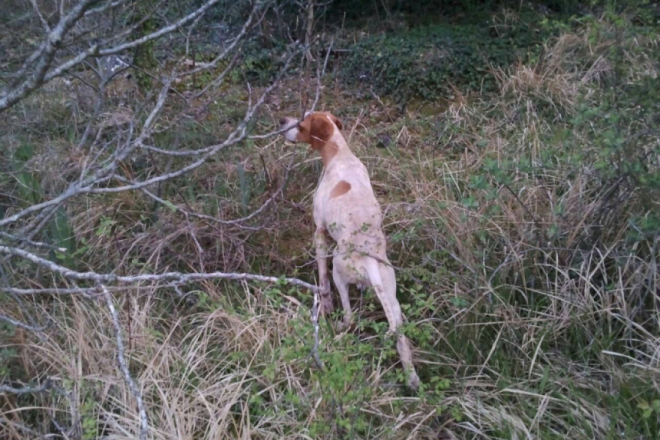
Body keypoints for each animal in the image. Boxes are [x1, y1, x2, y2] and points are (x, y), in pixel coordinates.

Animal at [282, 111, 420, 388]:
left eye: (301, 123)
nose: (283, 123)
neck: (339, 153)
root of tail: (369, 261)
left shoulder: (319, 231)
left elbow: (322, 276)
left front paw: (325, 303)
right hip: (393, 302)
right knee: (401, 341)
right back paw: (412, 379)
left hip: (339, 271)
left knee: (349, 315)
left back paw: (338, 328)